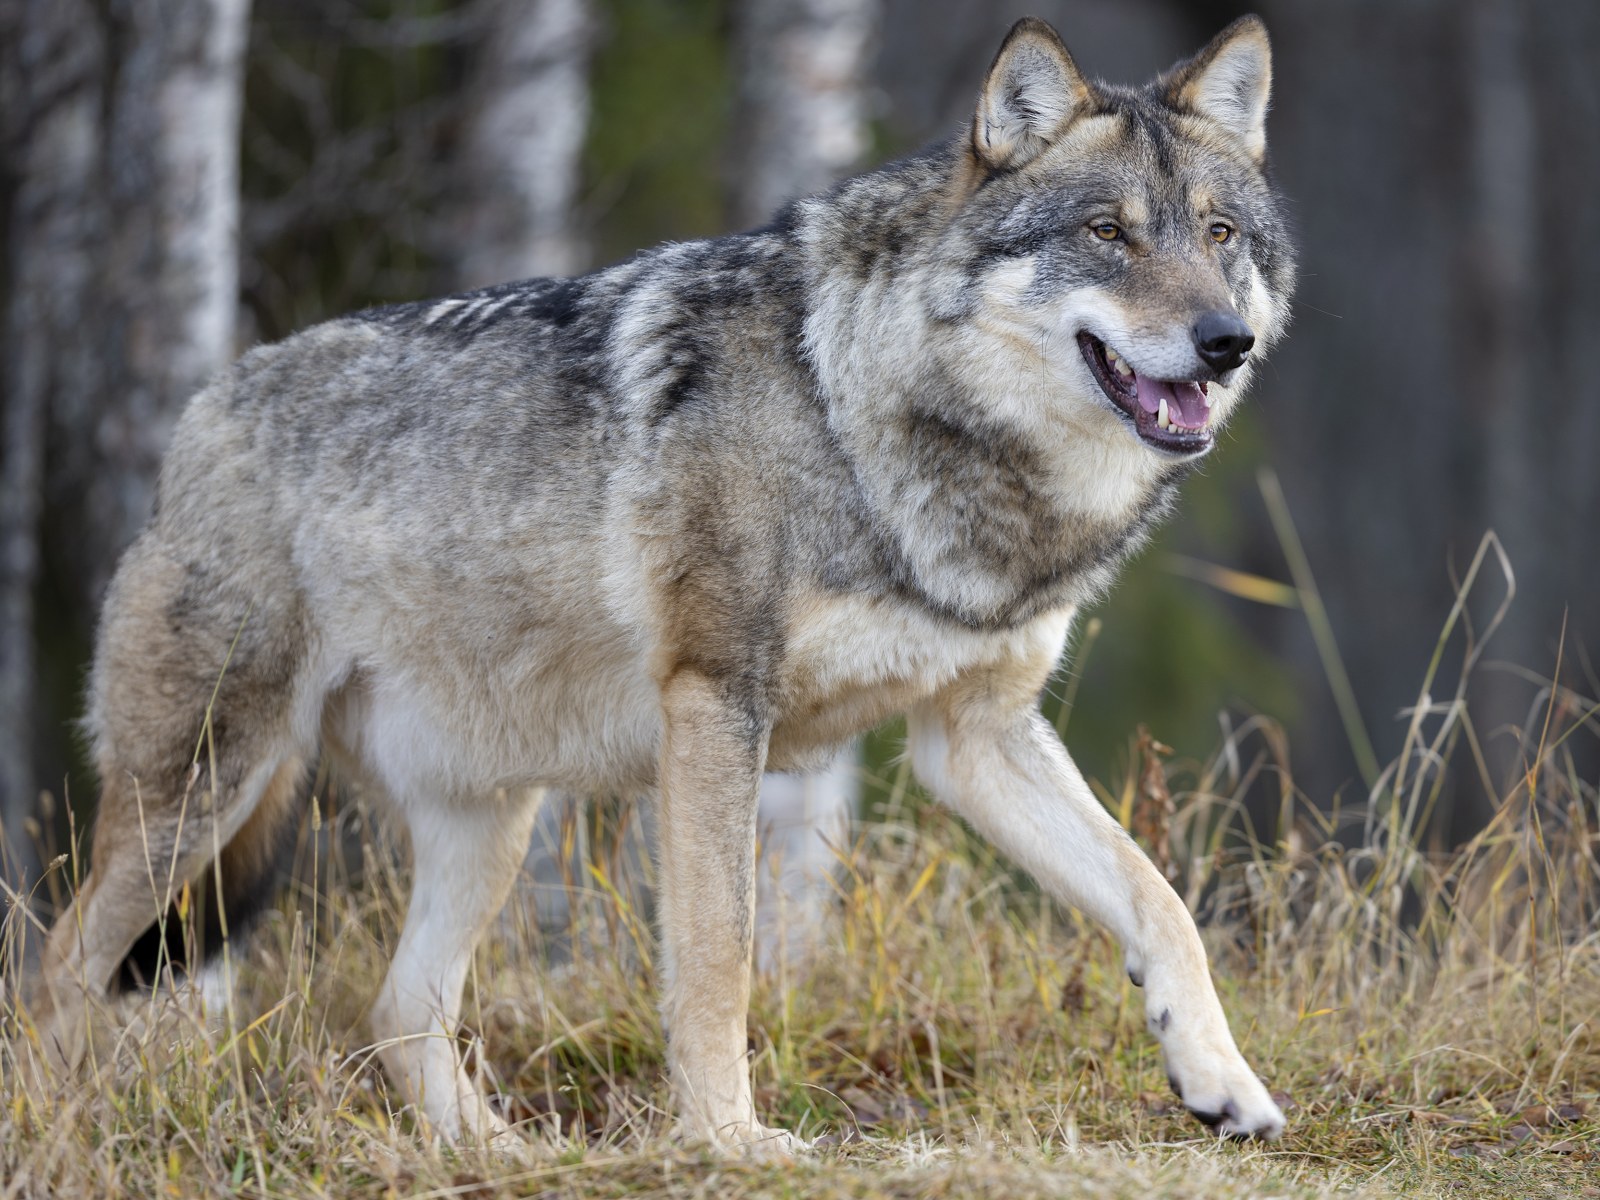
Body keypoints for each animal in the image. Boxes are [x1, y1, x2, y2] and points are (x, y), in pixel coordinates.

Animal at [28, 14, 1295, 1150]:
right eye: (1107, 232)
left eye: (1220, 233)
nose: (1223, 341)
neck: (868, 411)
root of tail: (207, 405)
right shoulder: (716, 702)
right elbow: (721, 956)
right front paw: (731, 1141)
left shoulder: (974, 735)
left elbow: (1158, 899)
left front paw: (1222, 1083)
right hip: (202, 792)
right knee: (56, 969)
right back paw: (62, 1131)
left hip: (486, 818)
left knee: (400, 1009)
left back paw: (505, 1157)